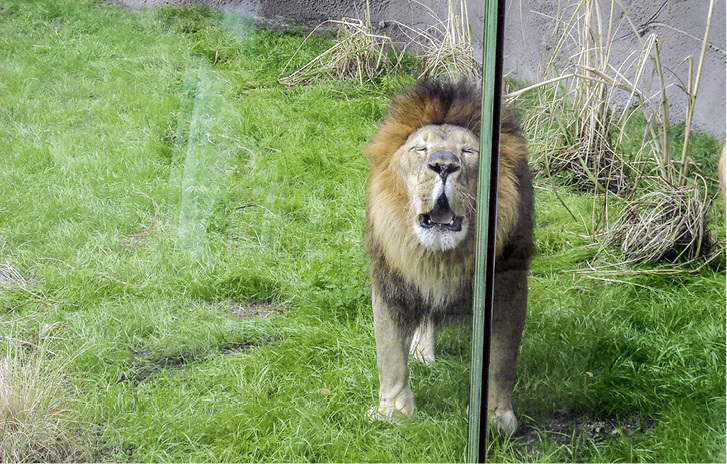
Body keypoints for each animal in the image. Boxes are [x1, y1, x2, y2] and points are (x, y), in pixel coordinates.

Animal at [364, 80, 533, 434]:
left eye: (468, 152)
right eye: (421, 149)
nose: (444, 165)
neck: (441, 257)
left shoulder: (508, 287)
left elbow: (500, 360)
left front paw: (494, 417)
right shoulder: (391, 283)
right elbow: (389, 353)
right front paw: (393, 411)